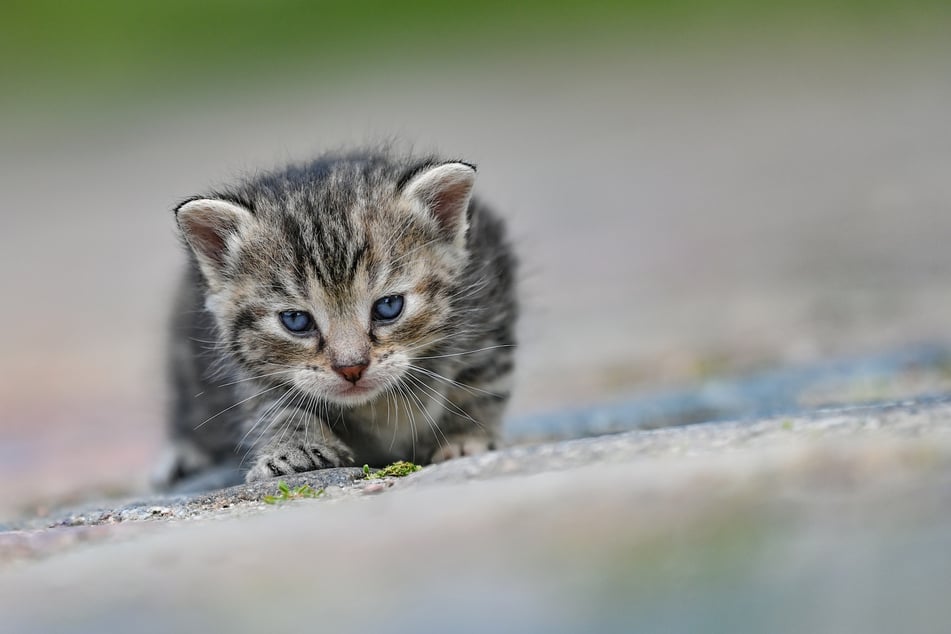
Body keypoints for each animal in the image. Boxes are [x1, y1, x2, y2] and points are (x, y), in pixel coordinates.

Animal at [159, 149, 520, 484]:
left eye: (389, 306)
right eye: (296, 320)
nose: (352, 368)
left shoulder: (487, 309)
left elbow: (479, 384)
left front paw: (465, 437)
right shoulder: (252, 375)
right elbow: (273, 407)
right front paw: (295, 448)